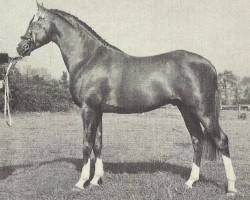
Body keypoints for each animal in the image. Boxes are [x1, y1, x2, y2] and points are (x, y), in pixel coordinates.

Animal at [17, 2, 236, 194]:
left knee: (221, 140)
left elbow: (87, 144)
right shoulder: (98, 110)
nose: (21, 47)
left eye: (34, 23)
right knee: (197, 140)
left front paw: (81, 183)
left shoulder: (88, 109)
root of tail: (209, 64)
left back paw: (231, 187)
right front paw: (96, 180)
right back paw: (190, 182)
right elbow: (98, 143)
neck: (88, 58)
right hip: (186, 110)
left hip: (203, 111)